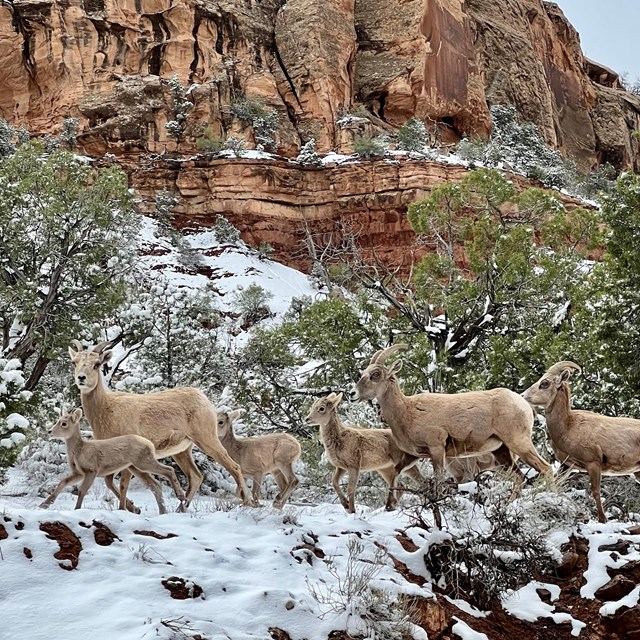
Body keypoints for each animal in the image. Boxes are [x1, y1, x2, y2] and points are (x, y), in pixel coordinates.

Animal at [40, 410, 186, 516]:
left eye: (64, 423)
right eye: (58, 420)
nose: (49, 431)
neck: (79, 450)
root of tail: (150, 444)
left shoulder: (92, 469)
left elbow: (82, 490)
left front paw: (77, 509)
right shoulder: (78, 473)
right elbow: (63, 482)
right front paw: (44, 504)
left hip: (142, 462)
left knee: (168, 470)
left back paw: (180, 496)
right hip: (135, 467)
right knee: (155, 485)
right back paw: (163, 511)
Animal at [350, 344, 552, 484]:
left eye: (376, 375)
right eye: (363, 373)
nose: (352, 394)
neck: (407, 411)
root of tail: (524, 404)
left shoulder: (437, 449)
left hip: (519, 443)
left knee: (546, 469)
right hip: (501, 451)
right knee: (518, 478)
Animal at [524, 362, 640, 524]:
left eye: (545, 383)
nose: (522, 396)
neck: (567, 426)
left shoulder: (593, 464)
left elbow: (596, 492)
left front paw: (603, 520)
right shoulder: (567, 466)